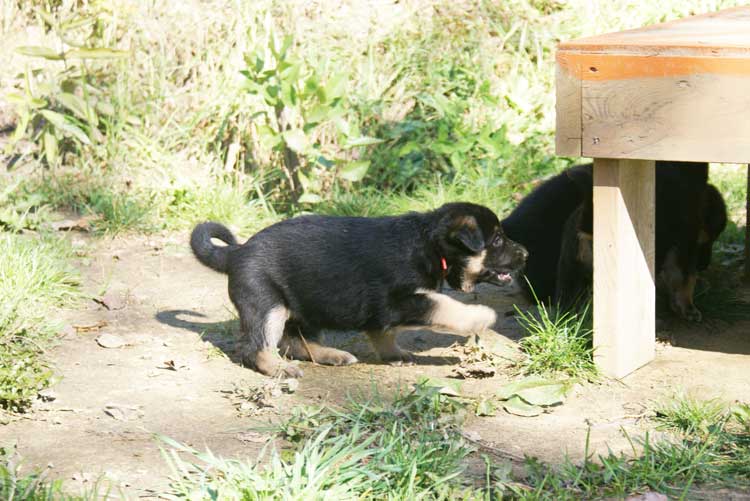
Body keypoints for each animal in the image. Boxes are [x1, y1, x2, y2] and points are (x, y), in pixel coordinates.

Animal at [191, 201, 524, 376]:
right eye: (497, 240)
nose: (526, 253)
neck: (429, 243)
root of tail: (237, 252)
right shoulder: (400, 300)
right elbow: (445, 306)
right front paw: (481, 316)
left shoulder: (383, 311)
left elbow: (383, 333)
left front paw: (393, 354)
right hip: (267, 304)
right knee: (255, 348)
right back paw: (278, 368)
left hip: (306, 307)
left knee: (294, 341)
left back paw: (331, 355)